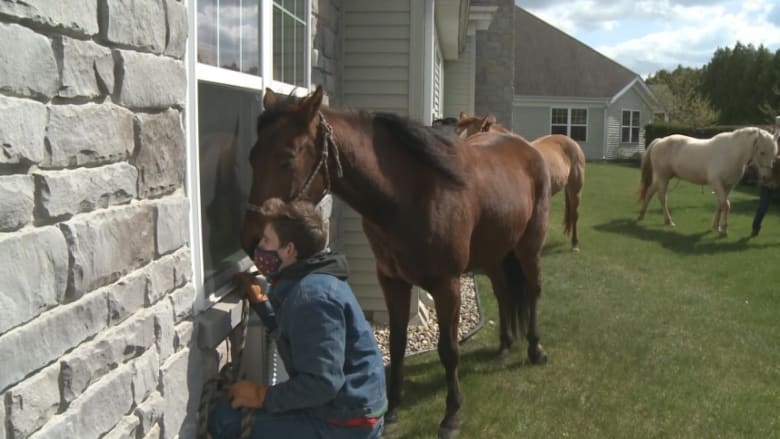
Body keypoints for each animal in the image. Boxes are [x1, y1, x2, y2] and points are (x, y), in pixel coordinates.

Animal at [239, 87, 552, 438]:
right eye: (252, 156)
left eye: (288, 157)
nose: (251, 239)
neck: (409, 196)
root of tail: (525, 146)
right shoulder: (392, 281)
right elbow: (398, 342)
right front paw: (392, 411)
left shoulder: (447, 285)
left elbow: (449, 349)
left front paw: (451, 414)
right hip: (495, 253)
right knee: (504, 294)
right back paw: (504, 348)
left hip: (528, 247)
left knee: (533, 290)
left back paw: (535, 349)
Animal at [637, 127, 778, 235]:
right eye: (762, 152)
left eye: (775, 153)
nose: (767, 177)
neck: (732, 153)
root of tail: (660, 141)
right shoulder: (716, 183)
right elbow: (726, 205)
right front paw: (724, 230)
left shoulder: (728, 186)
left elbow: (720, 204)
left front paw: (716, 227)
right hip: (663, 177)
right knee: (662, 197)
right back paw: (669, 221)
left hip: (663, 177)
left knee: (650, 192)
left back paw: (642, 215)